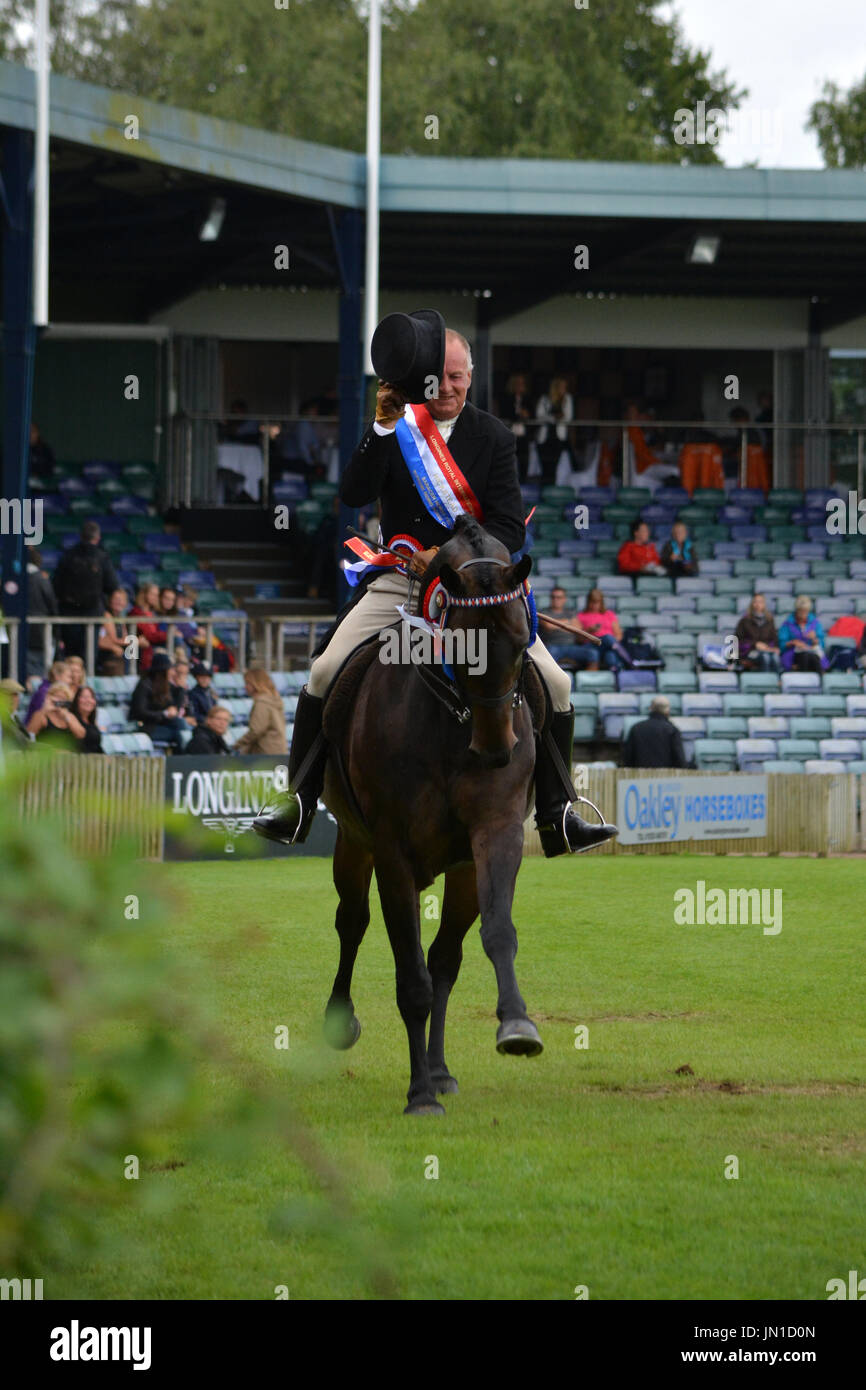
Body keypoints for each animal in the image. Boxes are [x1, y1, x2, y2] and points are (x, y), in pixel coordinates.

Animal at [322, 522, 544, 1117]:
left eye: (522, 643)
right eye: (461, 646)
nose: (496, 751)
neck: (451, 722)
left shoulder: (494, 836)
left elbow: (495, 934)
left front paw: (516, 1025)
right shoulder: (392, 854)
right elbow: (410, 978)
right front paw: (419, 1095)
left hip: (457, 869)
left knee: (444, 959)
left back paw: (442, 1070)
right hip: (354, 846)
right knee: (352, 923)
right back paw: (342, 1022)